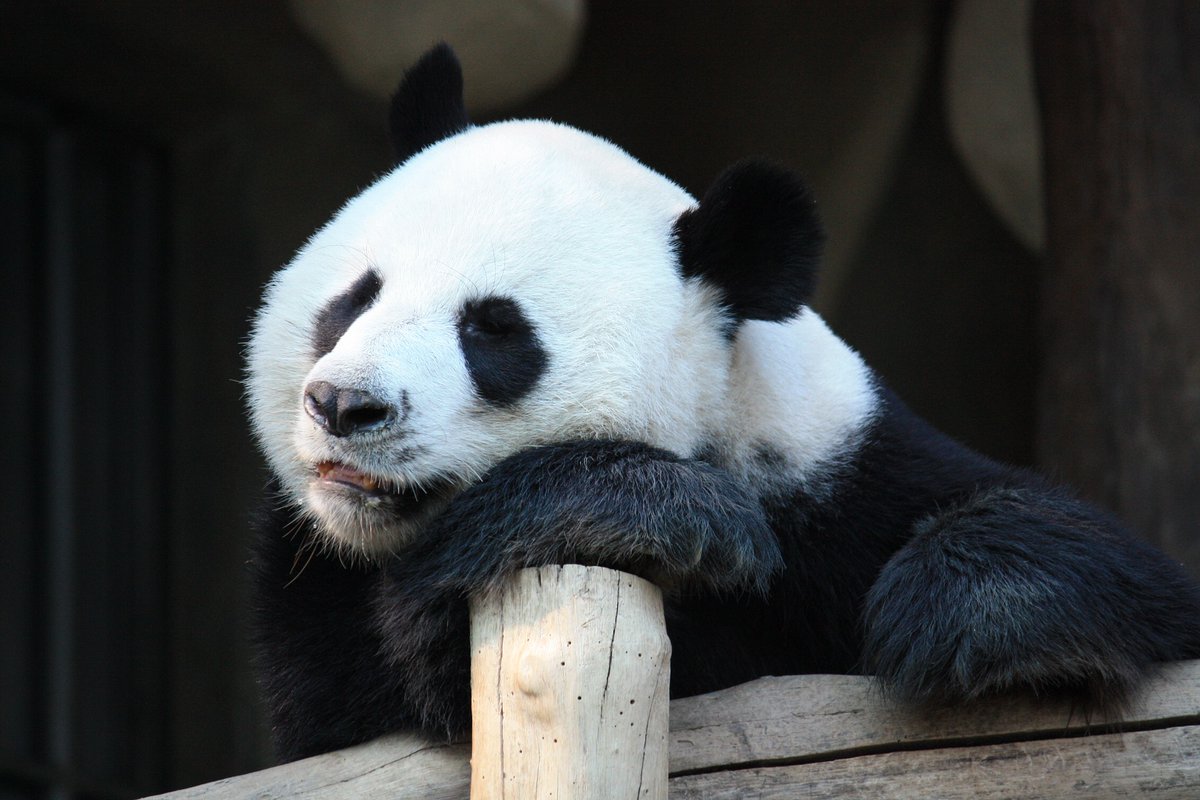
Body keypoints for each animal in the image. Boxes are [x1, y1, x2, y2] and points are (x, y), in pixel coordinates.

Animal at [246, 44, 1200, 762]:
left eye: (492, 331)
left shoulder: (838, 470)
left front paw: (961, 612)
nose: (346, 405)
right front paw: (653, 510)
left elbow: (1118, 571)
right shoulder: (312, 583)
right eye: (355, 299)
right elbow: (364, 700)